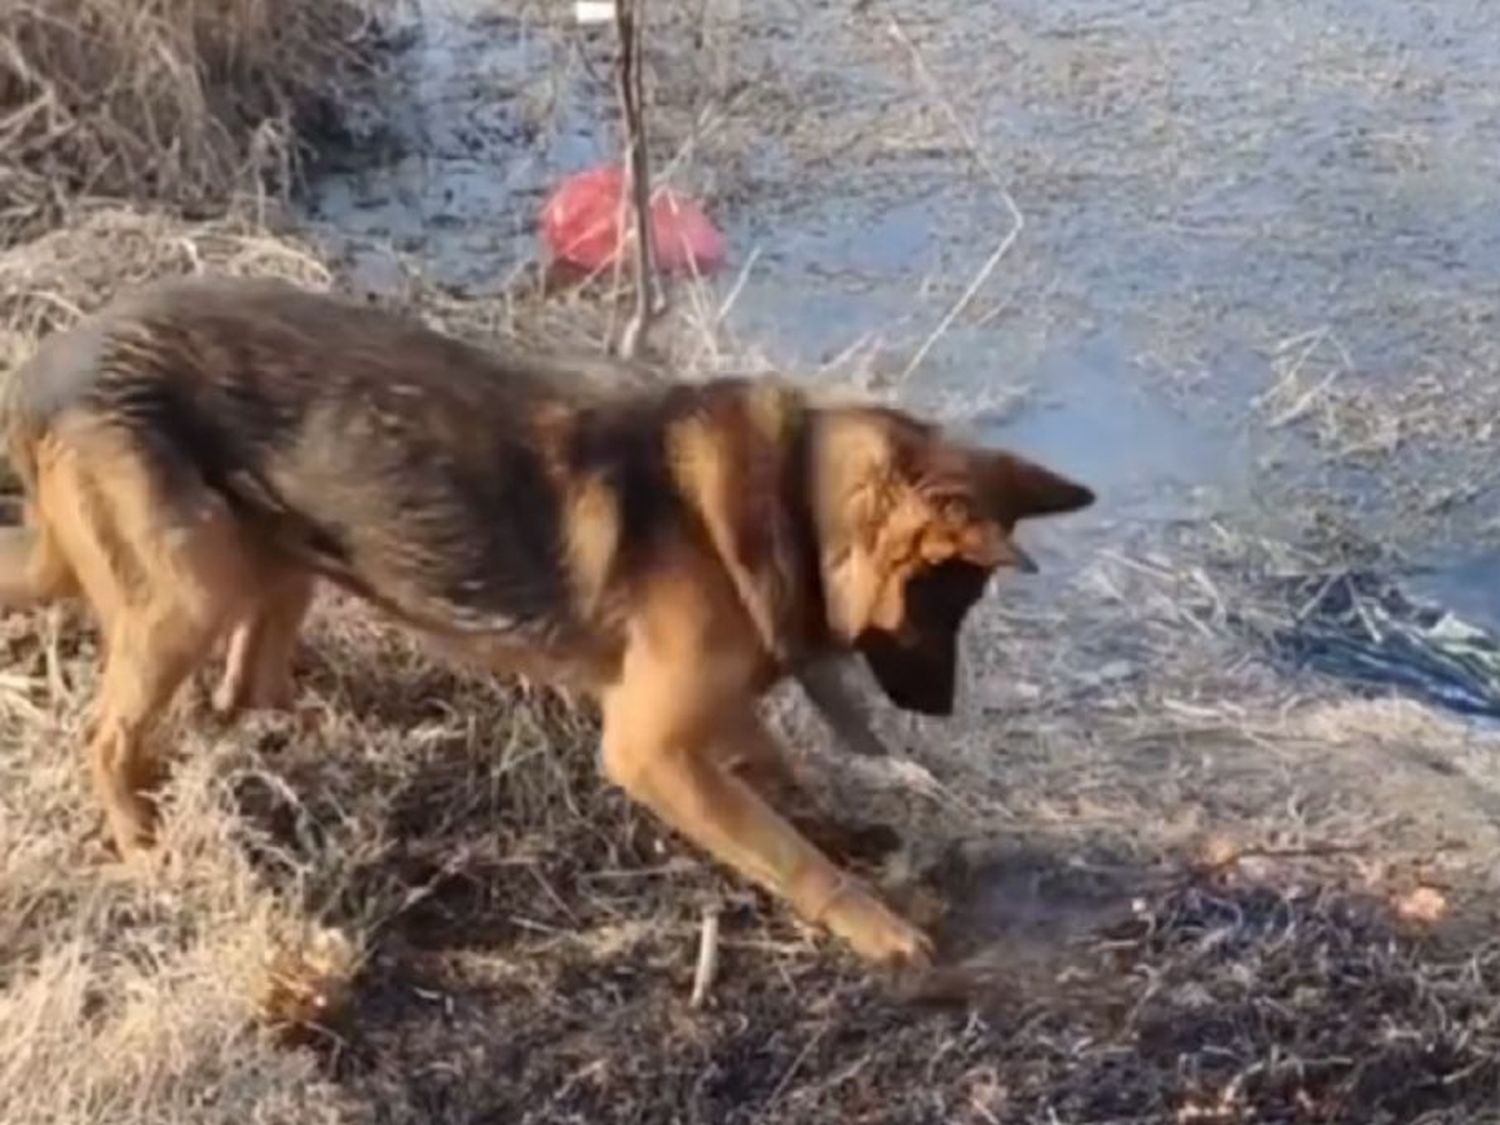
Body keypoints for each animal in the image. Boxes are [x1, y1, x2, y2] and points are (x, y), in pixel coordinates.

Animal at [0, 276, 1092, 972]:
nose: (939, 712)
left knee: (246, 689)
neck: (791, 497)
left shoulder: (703, 709)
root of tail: (43, 371)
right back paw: (145, 847)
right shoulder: (650, 748)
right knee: (112, 737)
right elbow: (783, 849)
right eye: (941, 606)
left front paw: (841, 819)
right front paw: (871, 923)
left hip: (276, 563)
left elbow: (776, 768)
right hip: (191, 590)